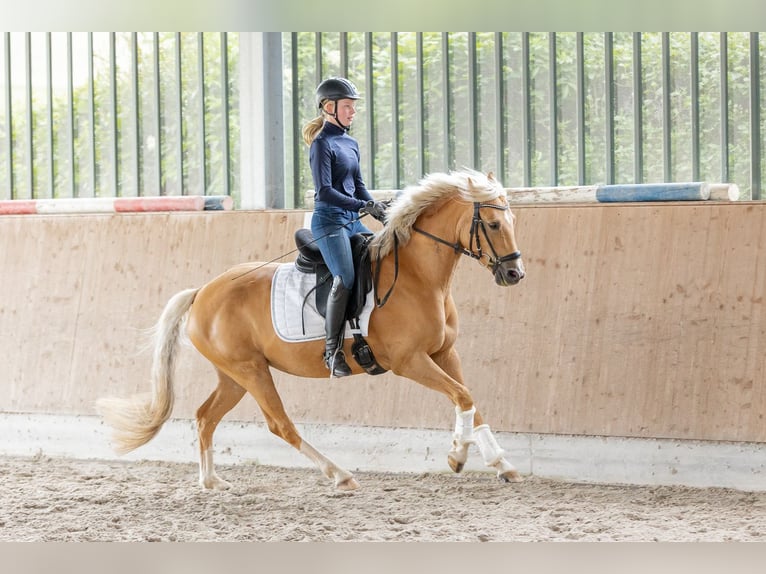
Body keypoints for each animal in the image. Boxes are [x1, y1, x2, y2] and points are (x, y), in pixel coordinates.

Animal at [97, 169, 528, 492]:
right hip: (252, 371)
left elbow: (469, 400)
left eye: (512, 222)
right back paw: (340, 474)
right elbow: (461, 395)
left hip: (233, 376)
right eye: (493, 224)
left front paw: (501, 463)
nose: (514, 274)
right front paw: (457, 455)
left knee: (205, 417)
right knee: (280, 425)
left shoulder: (443, 353)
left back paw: (211, 481)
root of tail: (203, 291)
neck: (418, 277)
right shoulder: (409, 361)